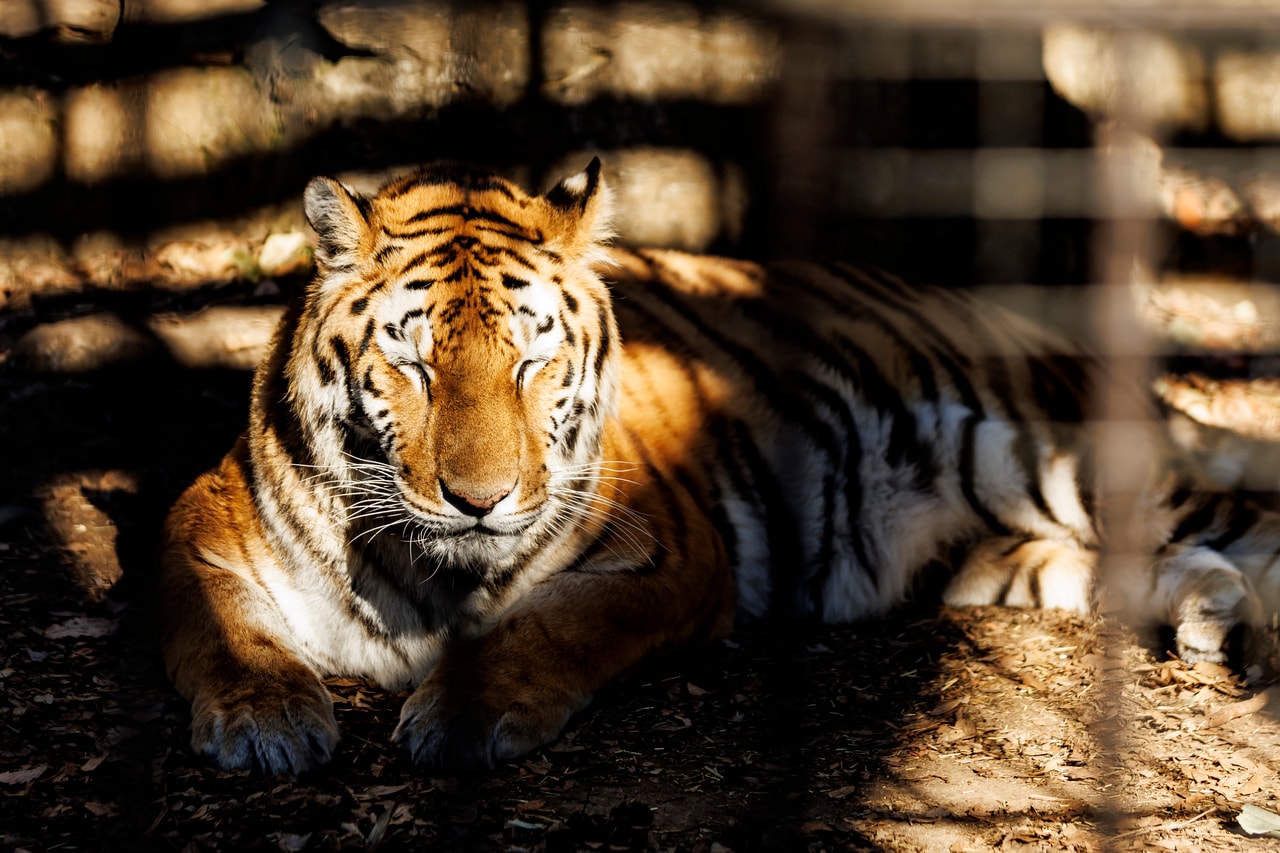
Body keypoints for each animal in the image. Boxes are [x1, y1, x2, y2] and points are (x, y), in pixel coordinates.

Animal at [157, 157, 1280, 768]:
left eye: (529, 358)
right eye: (414, 362)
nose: (480, 500)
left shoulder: (668, 553)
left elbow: (549, 627)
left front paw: (465, 712)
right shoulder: (206, 519)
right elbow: (212, 624)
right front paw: (263, 720)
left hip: (1039, 452)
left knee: (1242, 523)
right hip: (984, 552)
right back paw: (1214, 624)